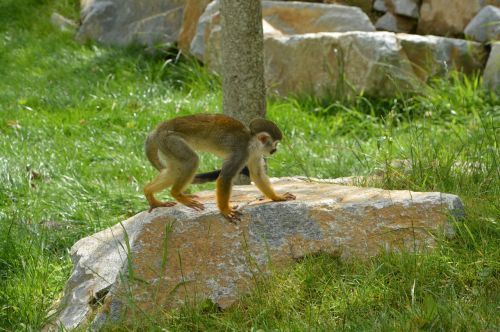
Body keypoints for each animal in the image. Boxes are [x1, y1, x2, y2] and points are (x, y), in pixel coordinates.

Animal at [143, 113, 294, 222]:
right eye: (275, 143)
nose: (275, 150)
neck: (252, 143)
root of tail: (159, 128)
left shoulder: (256, 154)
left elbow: (257, 175)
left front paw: (277, 197)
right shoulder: (241, 152)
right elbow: (225, 178)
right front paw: (225, 210)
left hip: (166, 145)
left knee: (175, 170)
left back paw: (149, 192)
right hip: (171, 140)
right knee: (191, 161)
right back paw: (176, 193)